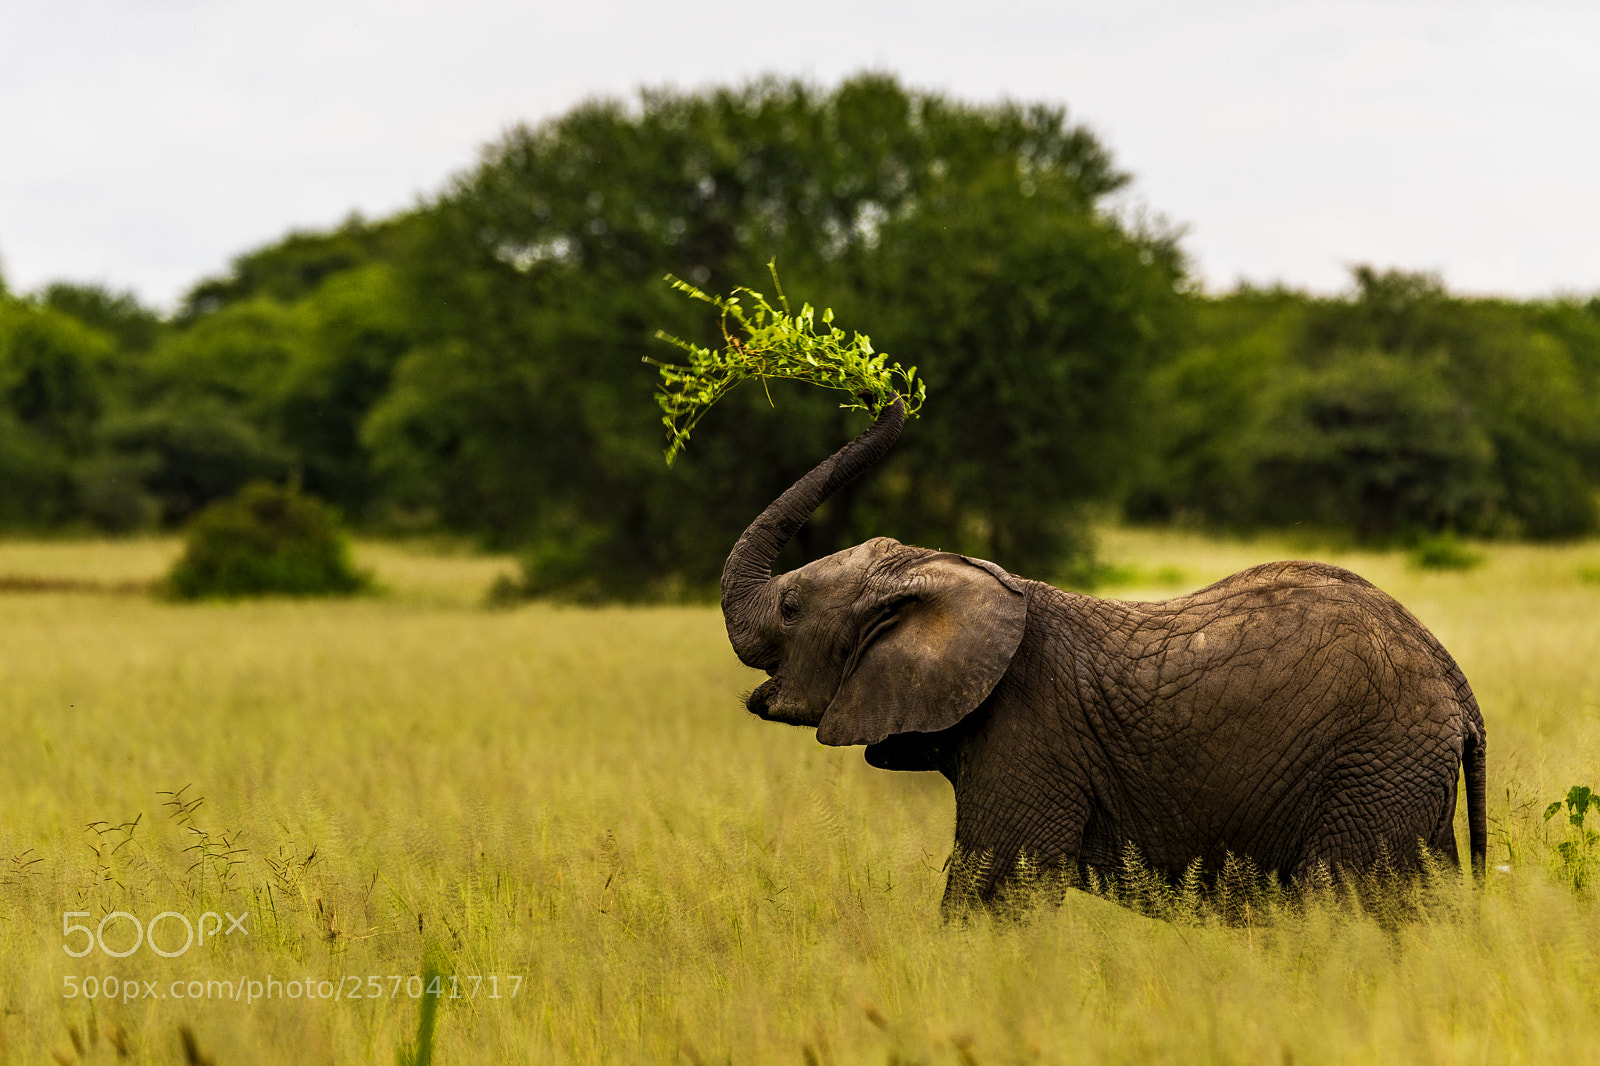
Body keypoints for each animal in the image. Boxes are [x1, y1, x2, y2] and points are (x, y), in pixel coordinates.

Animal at [720, 396, 1488, 906]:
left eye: (791, 607)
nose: (889, 394)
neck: (947, 573)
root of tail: (1455, 680)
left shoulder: (1029, 736)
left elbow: (993, 891)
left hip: (1375, 768)